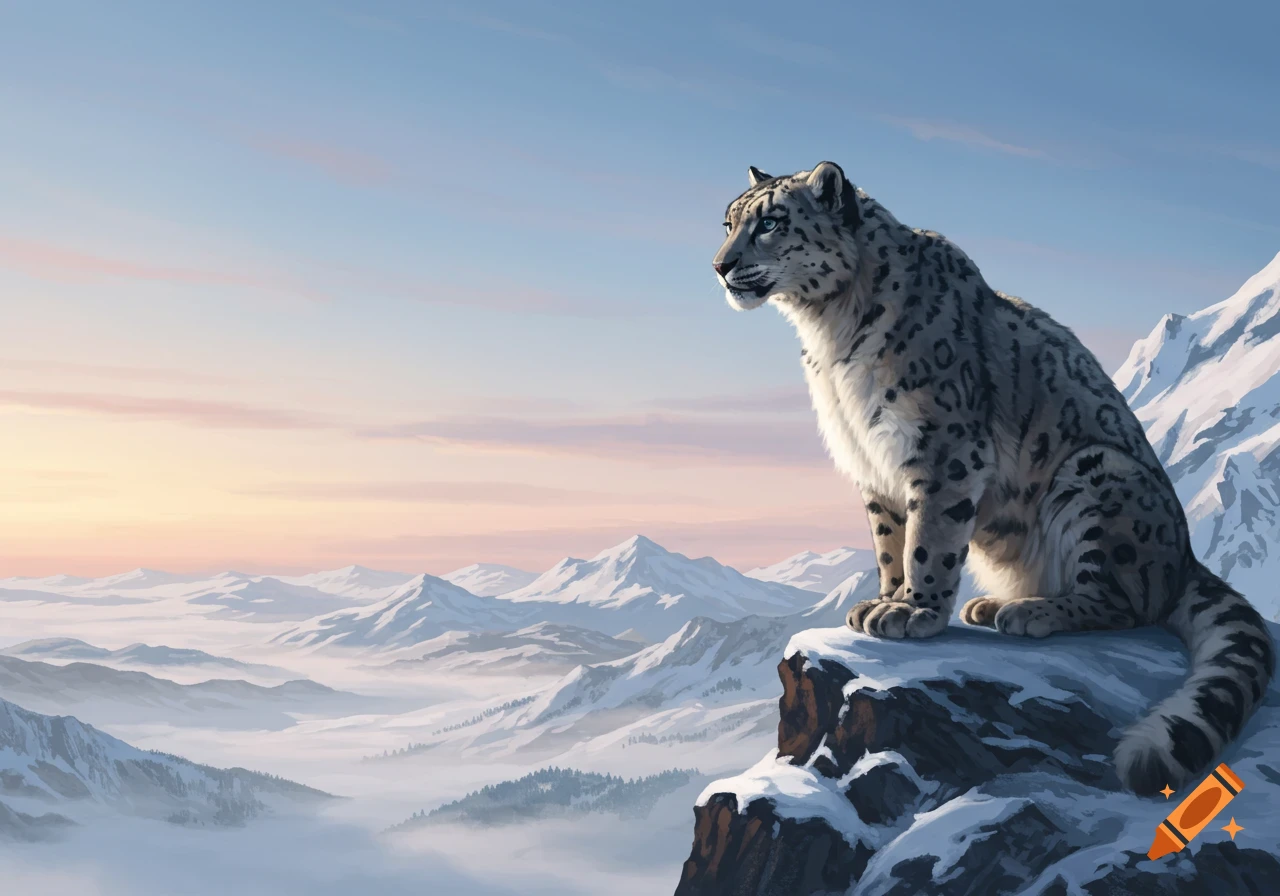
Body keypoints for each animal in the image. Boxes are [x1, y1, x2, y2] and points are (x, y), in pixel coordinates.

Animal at [712, 161, 1274, 795]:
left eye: (771, 223)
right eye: (729, 223)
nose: (721, 265)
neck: (829, 330)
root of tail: (1186, 557)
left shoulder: (944, 449)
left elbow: (928, 540)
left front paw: (915, 611)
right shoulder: (872, 465)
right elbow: (889, 541)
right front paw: (884, 599)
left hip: (1098, 473)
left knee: (1123, 602)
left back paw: (1030, 612)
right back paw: (995, 604)